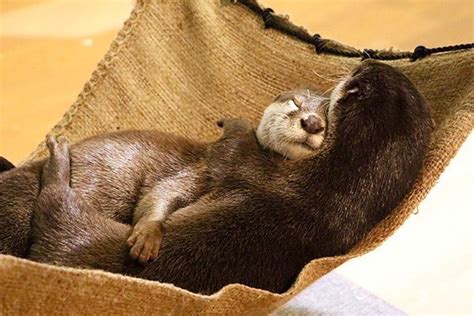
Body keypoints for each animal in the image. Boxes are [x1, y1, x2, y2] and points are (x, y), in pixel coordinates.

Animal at [0, 89, 328, 262]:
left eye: (328, 113)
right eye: (296, 102)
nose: (312, 123)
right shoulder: (204, 169)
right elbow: (161, 194)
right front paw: (147, 236)